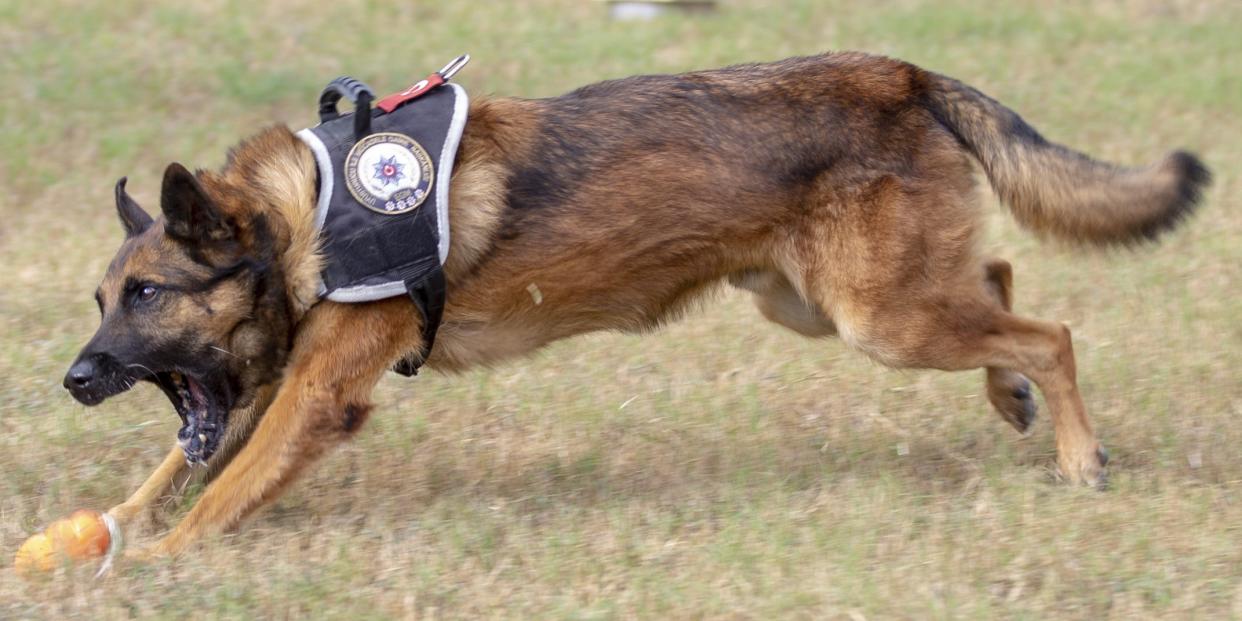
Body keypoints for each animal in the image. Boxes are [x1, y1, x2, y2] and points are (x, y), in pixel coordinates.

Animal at [63, 53, 1207, 558]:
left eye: (150, 295)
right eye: (104, 298)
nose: (72, 379)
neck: (307, 216)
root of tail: (902, 73)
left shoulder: (312, 398)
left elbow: (217, 493)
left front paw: (150, 567)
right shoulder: (269, 387)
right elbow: (176, 469)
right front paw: (109, 529)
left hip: (880, 320)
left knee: (1052, 331)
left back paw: (1077, 455)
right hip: (828, 304)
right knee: (1004, 281)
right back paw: (1011, 398)